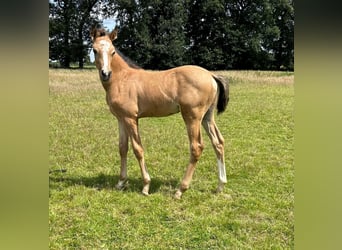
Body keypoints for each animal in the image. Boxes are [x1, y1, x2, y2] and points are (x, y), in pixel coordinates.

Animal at [91, 27, 230, 199]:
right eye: (94, 50)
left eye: (113, 52)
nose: (106, 74)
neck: (122, 79)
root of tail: (211, 75)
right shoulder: (121, 119)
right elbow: (123, 148)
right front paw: (121, 183)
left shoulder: (131, 118)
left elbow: (138, 149)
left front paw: (145, 186)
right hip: (207, 117)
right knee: (218, 142)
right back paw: (220, 186)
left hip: (192, 117)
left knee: (196, 147)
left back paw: (180, 190)